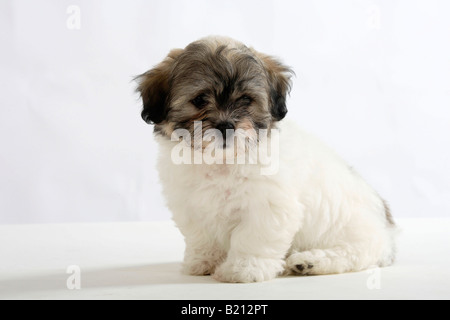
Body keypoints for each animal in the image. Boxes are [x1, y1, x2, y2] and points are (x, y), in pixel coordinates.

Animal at [135, 37, 396, 282]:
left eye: (246, 100)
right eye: (199, 100)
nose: (226, 126)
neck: (222, 161)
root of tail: (388, 230)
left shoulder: (268, 206)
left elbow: (254, 238)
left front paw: (243, 269)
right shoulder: (191, 206)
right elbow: (202, 236)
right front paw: (204, 261)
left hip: (357, 234)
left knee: (354, 254)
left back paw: (308, 262)